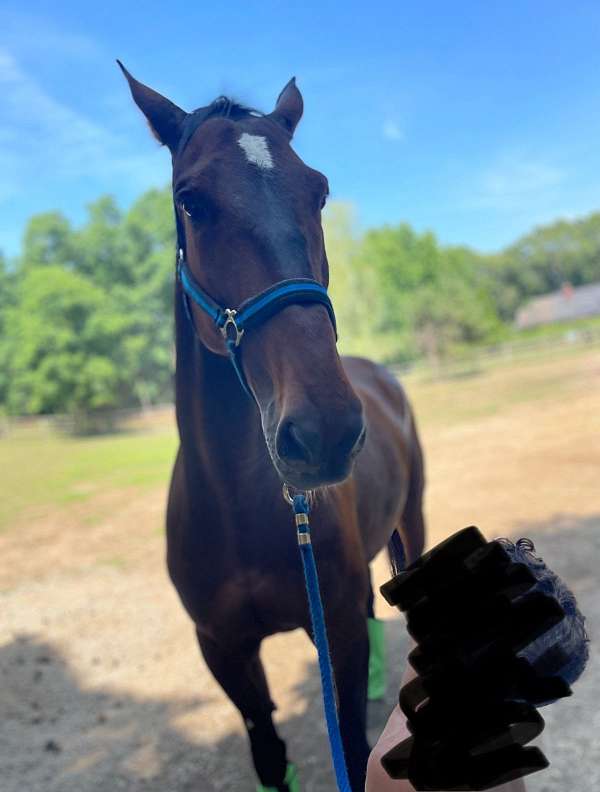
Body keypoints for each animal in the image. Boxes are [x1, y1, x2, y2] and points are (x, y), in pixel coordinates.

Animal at [119, 66, 424, 792]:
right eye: (191, 201)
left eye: (320, 190)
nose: (325, 430)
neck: (237, 505)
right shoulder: (224, 651)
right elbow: (269, 755)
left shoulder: (332, 628)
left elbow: (351, 744)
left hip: (413, 517)